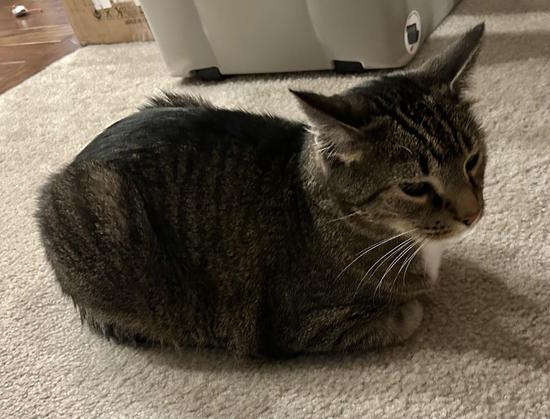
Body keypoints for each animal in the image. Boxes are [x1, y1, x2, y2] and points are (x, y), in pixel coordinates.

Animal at [37, 23, 488, 358]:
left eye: (472, 160)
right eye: (413, 187)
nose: (472, 215)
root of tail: (72, 166)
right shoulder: (300, 326)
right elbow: (405, 316)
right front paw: (415, 304)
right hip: (103, 204)